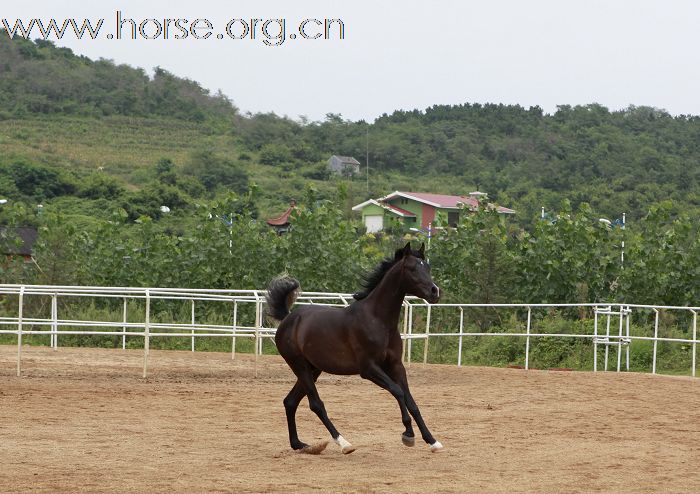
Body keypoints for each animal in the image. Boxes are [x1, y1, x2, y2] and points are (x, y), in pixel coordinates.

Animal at [266, 241, 442, 454]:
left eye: (428, 267)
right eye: (412, 268)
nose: (435, 291)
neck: (378, 320)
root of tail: (288, 318)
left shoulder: (396, 366)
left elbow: (411, 401)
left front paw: (432, 441)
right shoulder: (369, 369)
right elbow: (398, 392)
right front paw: (408, 434)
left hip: (313, 369)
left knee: (290, 402)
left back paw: (300, 444)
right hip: (299, 366)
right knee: (316, 404)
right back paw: (344, 444)